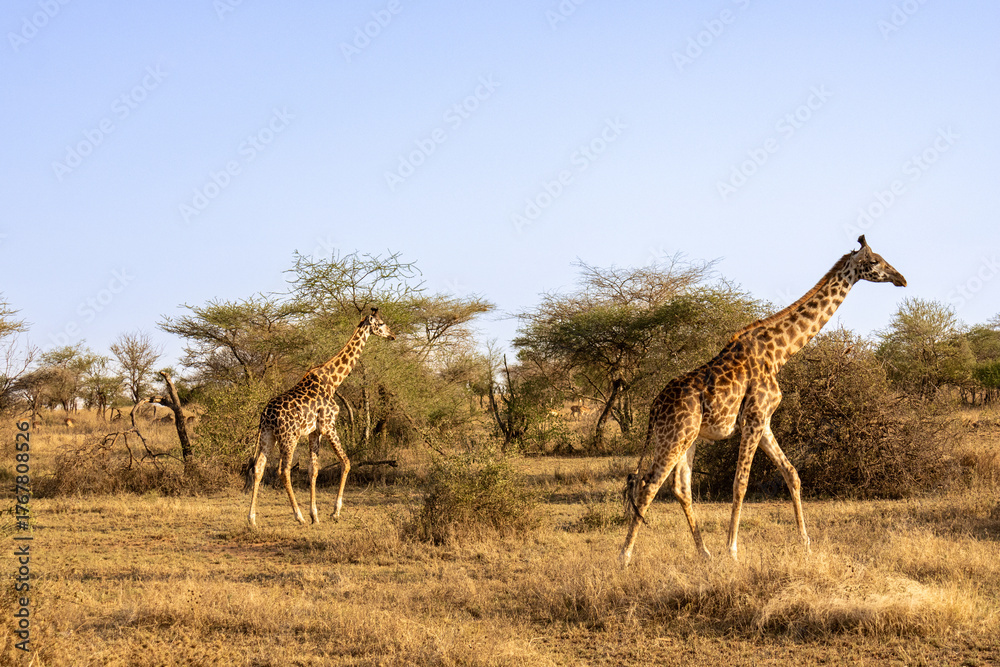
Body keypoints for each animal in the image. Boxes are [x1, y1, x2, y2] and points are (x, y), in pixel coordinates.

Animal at [245, 307, 395, 528]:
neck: (333, 380)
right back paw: (298, 516)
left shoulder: (314, 432)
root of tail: (266, 415)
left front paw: (315, 515)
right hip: (289, 437)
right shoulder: (328, 425)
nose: (392, 335)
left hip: (267, 435)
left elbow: (313, 469)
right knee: (284, 470)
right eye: (381, 323)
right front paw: (335, 512)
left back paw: (252, 518)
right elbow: (346, 462)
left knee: (258, 467)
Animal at [620, 236, 906, 565]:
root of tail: (654, 408)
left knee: (681, 486)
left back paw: (703, 552)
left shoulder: (765, 421)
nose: (901, 279)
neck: (779, 353)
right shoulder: (754, 418)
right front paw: (732, 549)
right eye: (874, 262)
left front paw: (805, 542)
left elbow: (791, 473)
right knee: (649, 484)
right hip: (674, 436)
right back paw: (625, 555)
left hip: (688, 437)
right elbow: (741, 483)